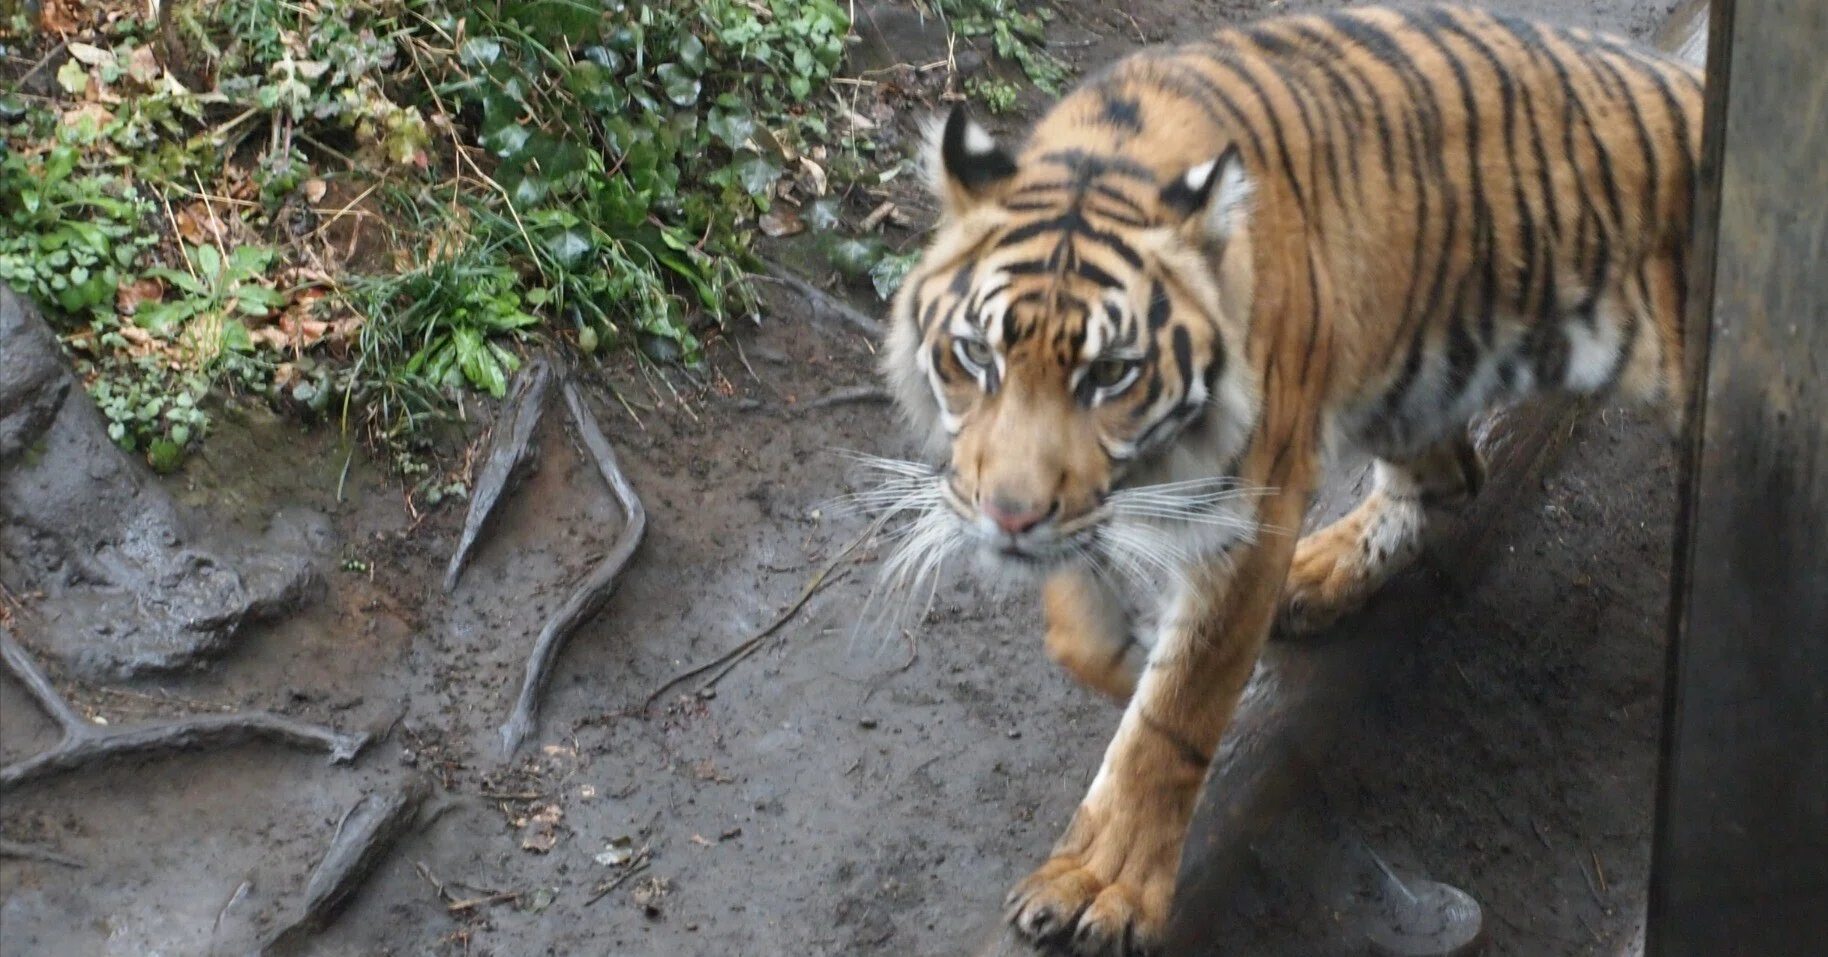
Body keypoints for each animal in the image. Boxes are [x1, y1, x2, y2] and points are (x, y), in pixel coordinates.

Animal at [864, 3, 1703, 954]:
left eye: (1111, 375)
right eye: (976, 355)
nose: (1008, 517)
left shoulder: (1245, 512)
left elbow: (1175, 716)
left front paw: (1101, 884)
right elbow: (1079, 628)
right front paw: (1124, 655)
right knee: (1453, 476)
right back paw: (1321, 572)